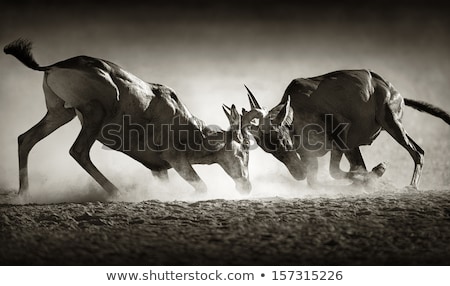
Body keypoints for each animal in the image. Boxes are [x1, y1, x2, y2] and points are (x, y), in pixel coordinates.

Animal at [3, 38, 251, 197]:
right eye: (243, 151)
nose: (246, 187)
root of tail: (54, 66)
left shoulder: (158, 169)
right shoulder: (175, 159)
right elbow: (202, 188)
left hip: (60, 113)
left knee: (26, 139)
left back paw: (24, 194)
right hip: (95, 114)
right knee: (78, 151)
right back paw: (117, 193)